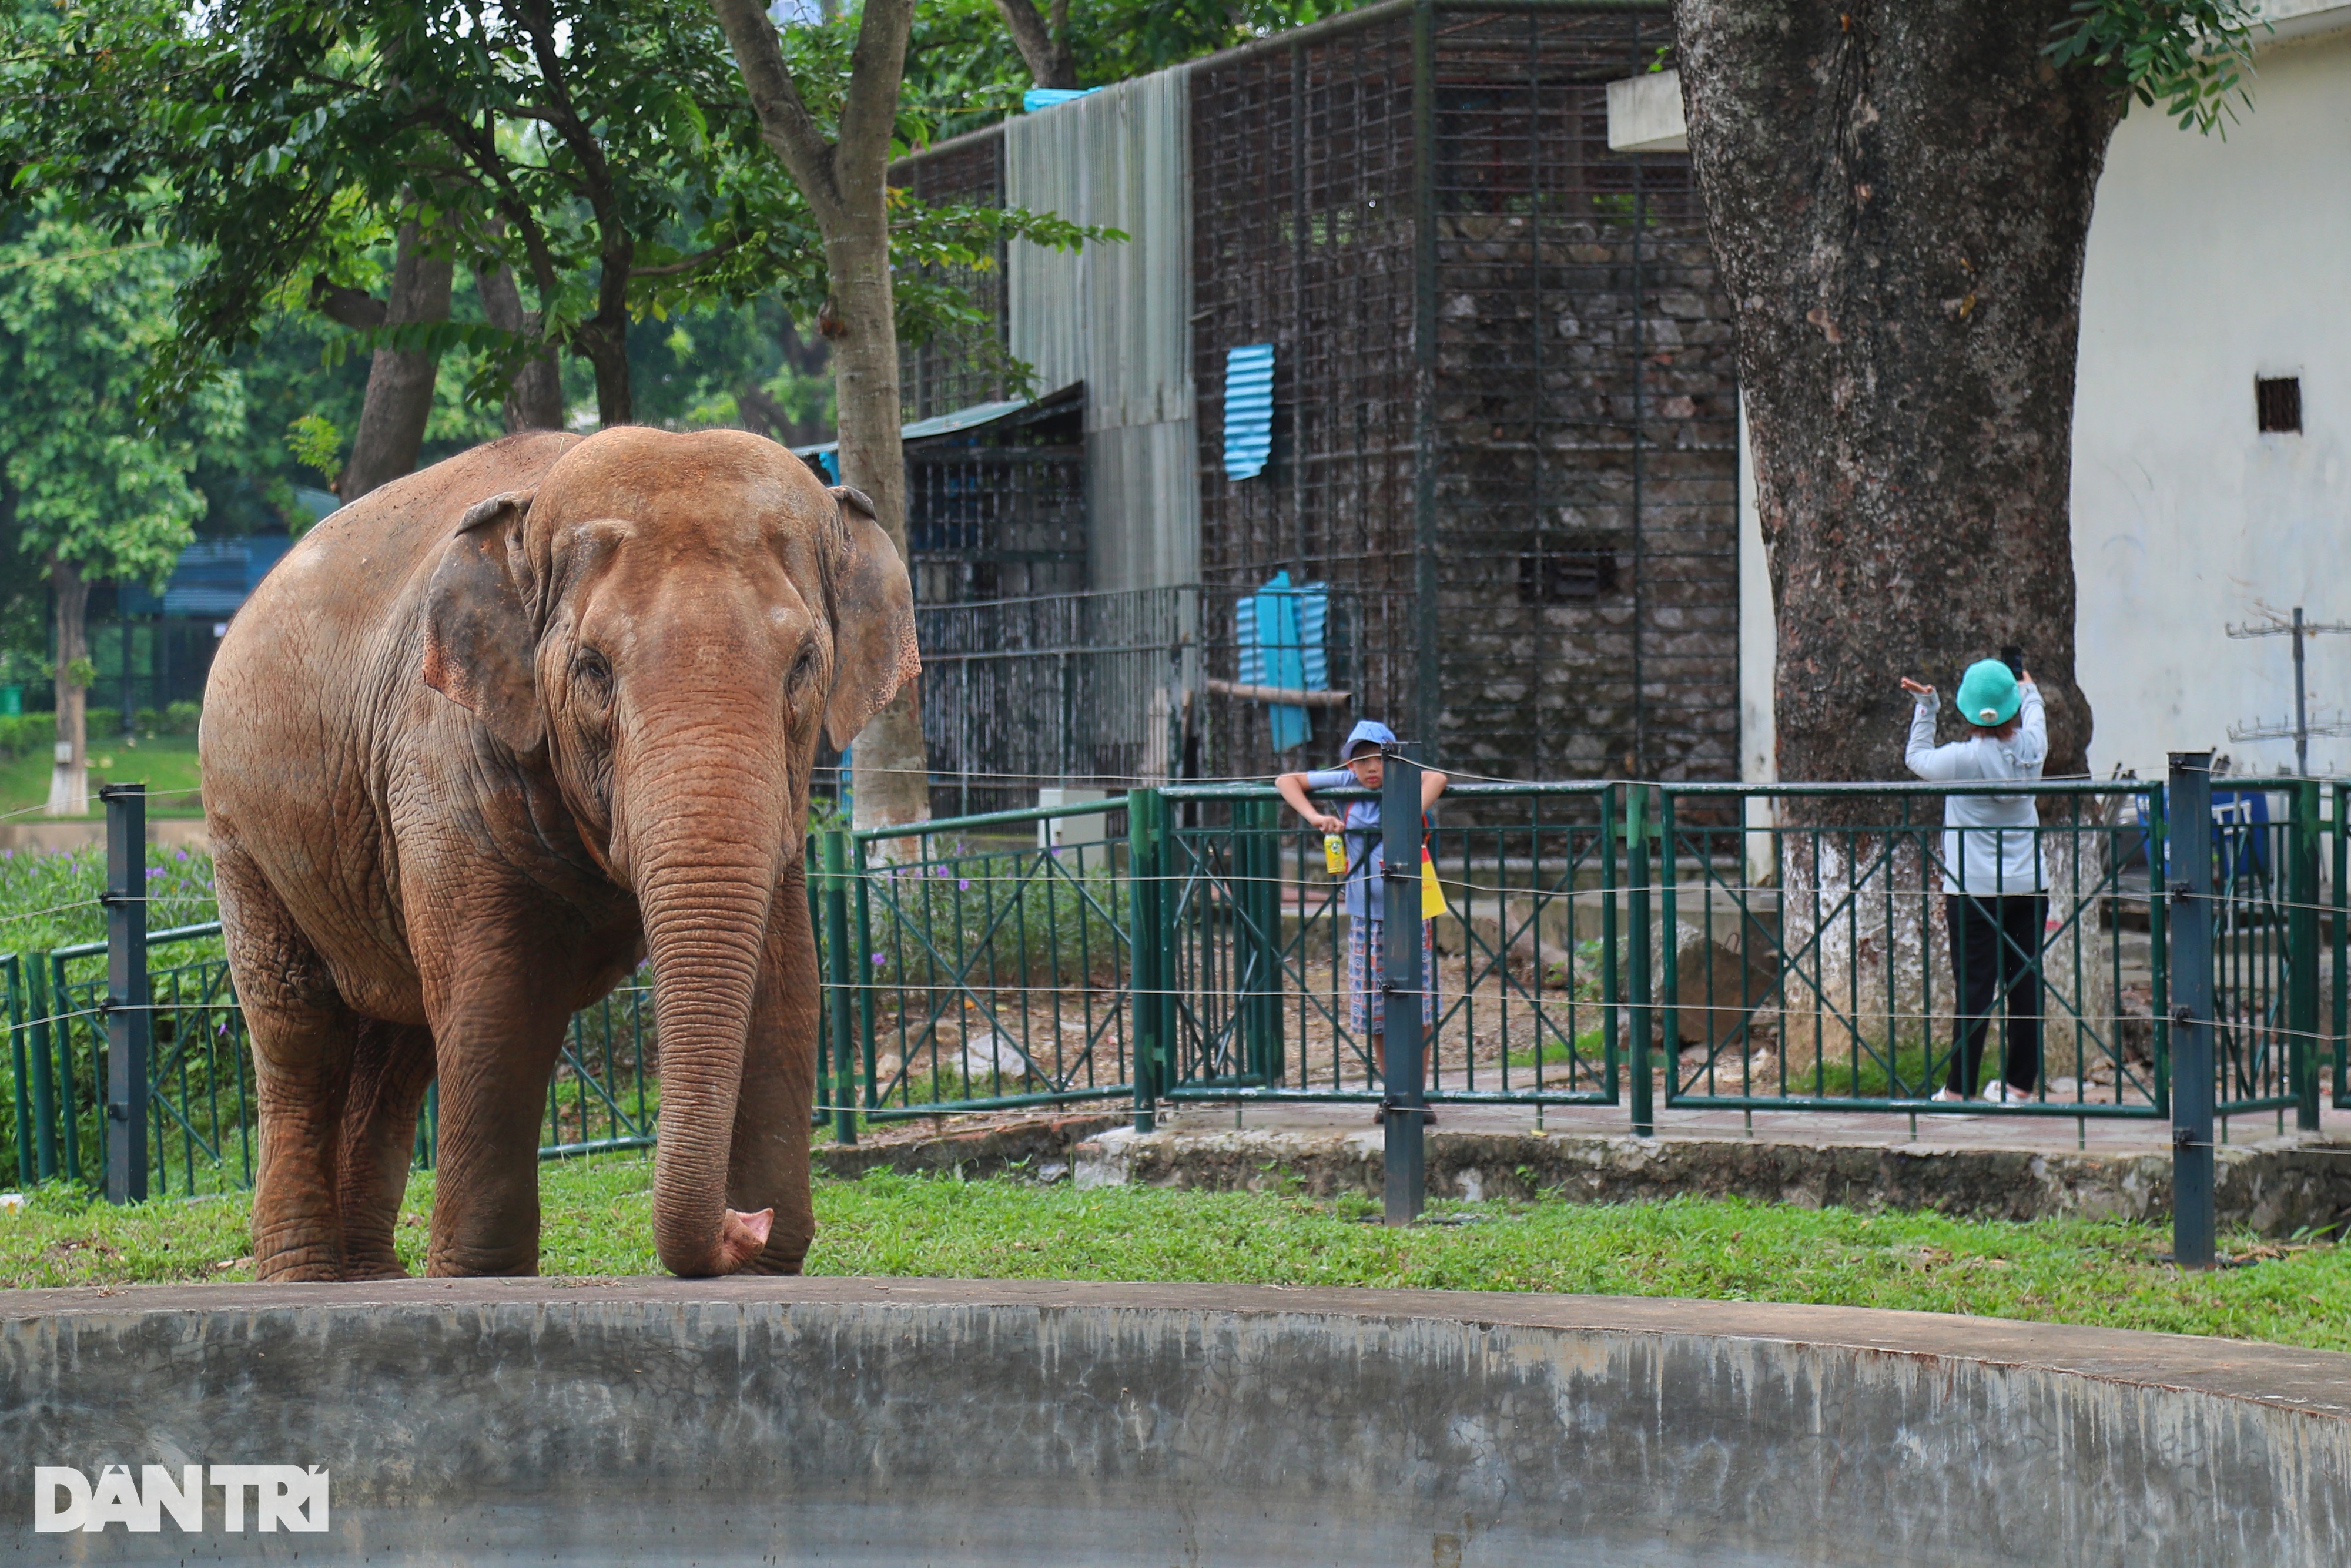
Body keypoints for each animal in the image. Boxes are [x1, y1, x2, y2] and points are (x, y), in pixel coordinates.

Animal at [200, 425, 917, 1279]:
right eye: (592, 670)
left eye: (805, 663)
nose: (742, 1223)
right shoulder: (442, 757)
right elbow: (498, 993)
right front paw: (481, 1274)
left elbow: (788, 980)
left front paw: (767, 1263)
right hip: (239, 830)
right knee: (299, 1029)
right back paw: (308, 1274)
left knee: (398, 1046)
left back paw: (371, 1274)